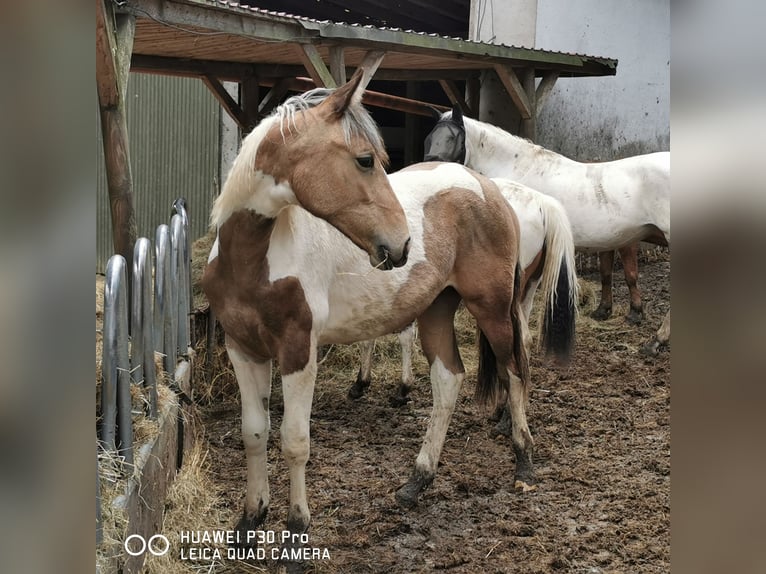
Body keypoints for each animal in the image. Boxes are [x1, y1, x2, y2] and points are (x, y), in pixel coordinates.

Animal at [206, 71, 536, 564]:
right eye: (364, 160)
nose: (401, 244)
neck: (253, 259)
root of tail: (485, 186)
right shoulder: (243, 349)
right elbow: (254, 433)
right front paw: (248, 523)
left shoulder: (298, 352)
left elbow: (295, 441)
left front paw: (296, 533)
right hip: (437, 310)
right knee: (448, 380)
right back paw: (417, 482)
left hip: (493, 307)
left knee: (514, 370)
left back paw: (523, 460)